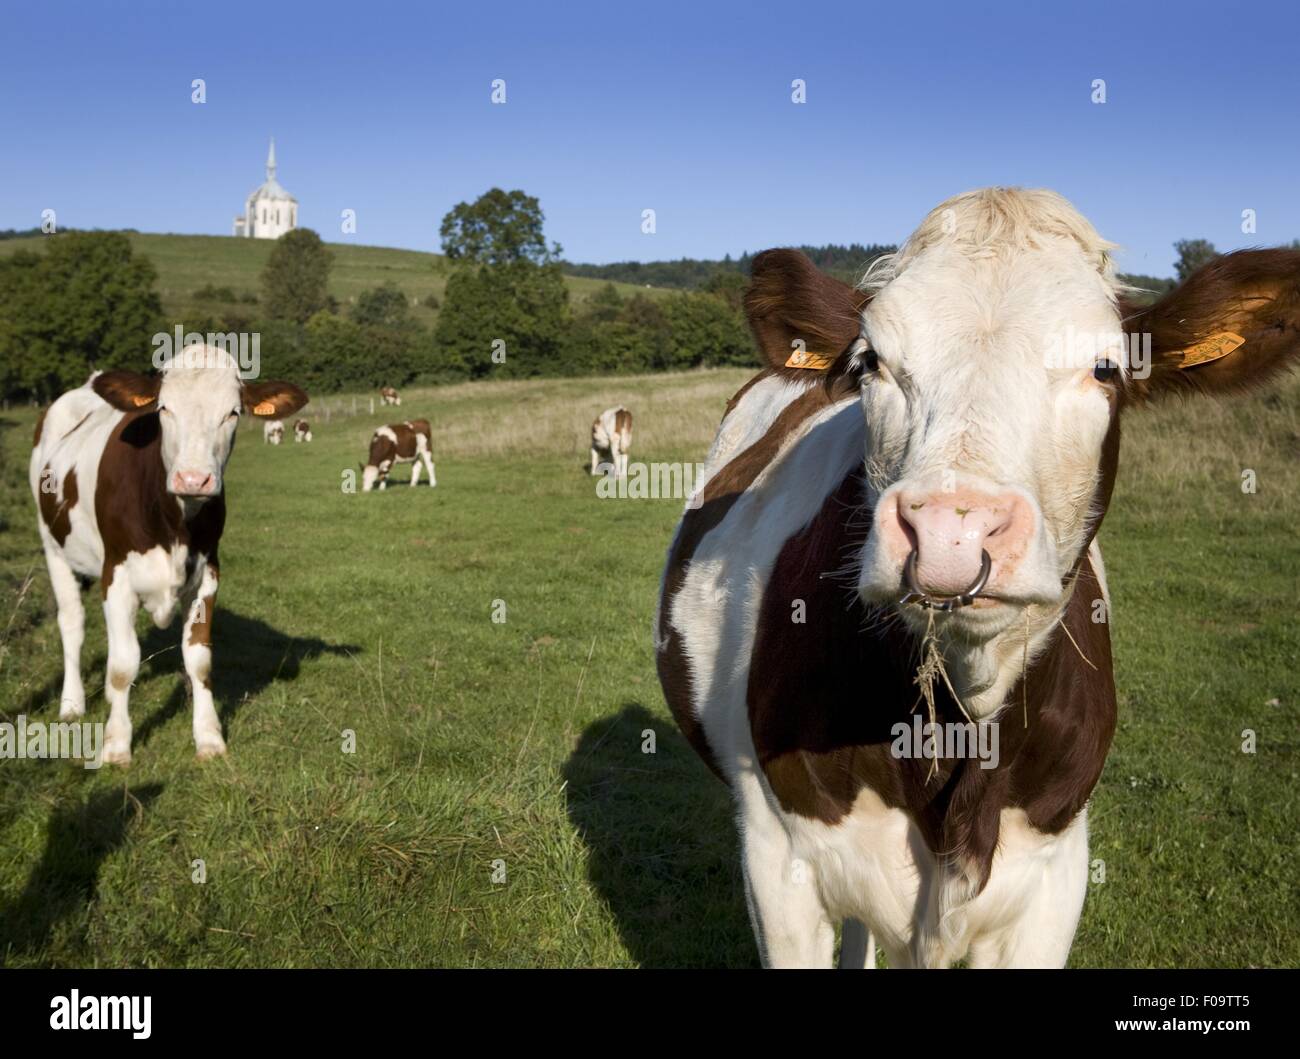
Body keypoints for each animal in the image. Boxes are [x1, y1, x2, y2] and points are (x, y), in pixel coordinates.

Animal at [32, 345, 306, 764]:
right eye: (163, 408)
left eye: (233, 412)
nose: (193, 479)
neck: (174, 522)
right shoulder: (117, 575)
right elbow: (122, 665)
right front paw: (116, 745)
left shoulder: (208, 574)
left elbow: (199, 660)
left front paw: (209, 737)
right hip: (54, 547)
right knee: (72, 624)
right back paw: (72, 703)